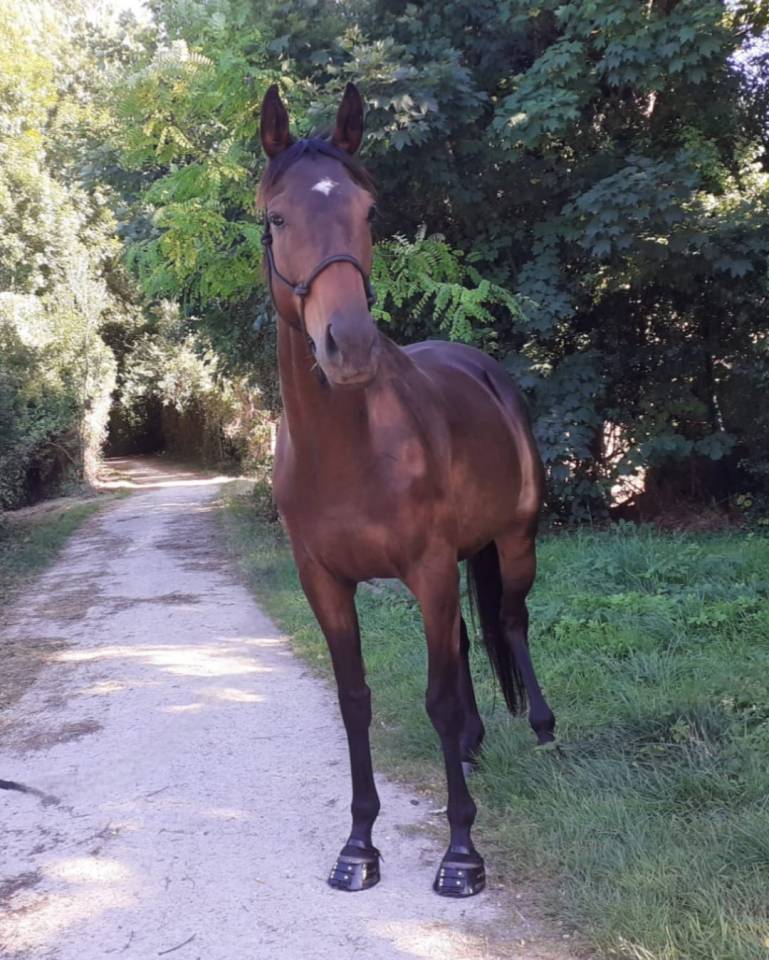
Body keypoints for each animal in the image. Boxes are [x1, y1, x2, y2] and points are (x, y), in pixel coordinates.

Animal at [258, 82, 555, 898]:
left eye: (367, 211)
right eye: (277, 217)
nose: (350, 344)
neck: (347, 450)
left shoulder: (426, 571)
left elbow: (438, 698)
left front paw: (461, 854)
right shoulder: (325, 582)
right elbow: (355, 701)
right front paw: (359, 846)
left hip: (515, 543)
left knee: (510, 622)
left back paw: (542, 728)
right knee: (466, 641)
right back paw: (480, 744)